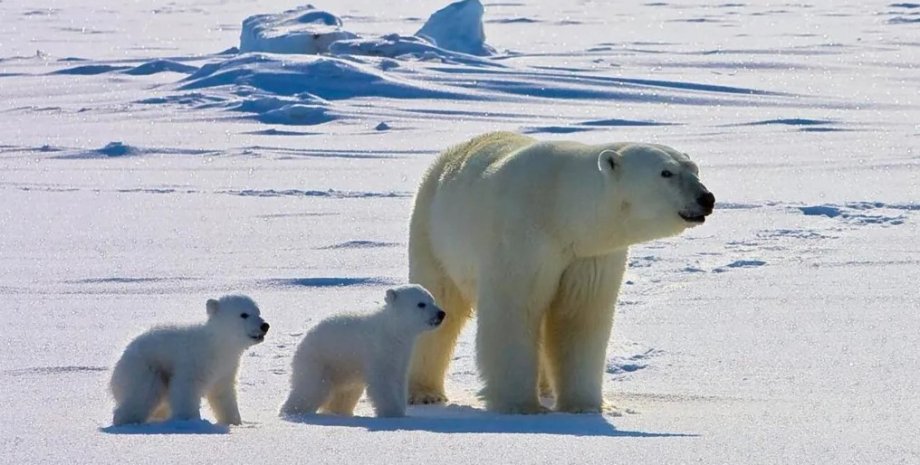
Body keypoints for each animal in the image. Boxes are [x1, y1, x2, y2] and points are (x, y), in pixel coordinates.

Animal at [108, 294, 270, 424]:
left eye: (258, 312)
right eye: (244, 314)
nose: (265, 325)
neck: (216, 346)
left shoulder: (226, 368)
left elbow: (223, 394)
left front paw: (234, 421)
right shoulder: (194, 361)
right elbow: (185, 388)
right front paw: (189, 420)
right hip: (145, 368)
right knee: (143, 394)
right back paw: (126, 420)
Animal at [280, 282, 446, 416]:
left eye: (432, 299)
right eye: (421, 304)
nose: (441, 314)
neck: (392, 330)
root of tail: (301, 344)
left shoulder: (401, 354)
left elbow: (398, 380)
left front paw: (401, 409)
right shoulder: (379, 350)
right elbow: (383, 381)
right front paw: (393, 413)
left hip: (343, 370)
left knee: (345, 394)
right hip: (320, 360)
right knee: (310, 388)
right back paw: (292, 411)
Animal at [406, 130, 716, 414]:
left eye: (694, 169)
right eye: (666, 172)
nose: (707, 198)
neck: (561, 210)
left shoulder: (589, 254)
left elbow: (579, 316)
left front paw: (586, 406)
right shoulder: (522, 238)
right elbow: (515, 311)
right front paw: (521, 405)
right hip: (433, 233)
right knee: (440, 301)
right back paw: (424, 392)